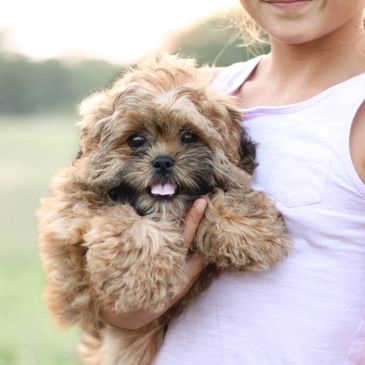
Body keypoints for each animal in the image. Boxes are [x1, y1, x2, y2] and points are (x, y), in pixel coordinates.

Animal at [37, 54, 290, 364]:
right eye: (136, 140)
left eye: (189, 136)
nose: (162, 162)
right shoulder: (70, 217)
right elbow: (130, 228)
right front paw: (142, 277)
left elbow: (220, 198)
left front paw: (250, 230)